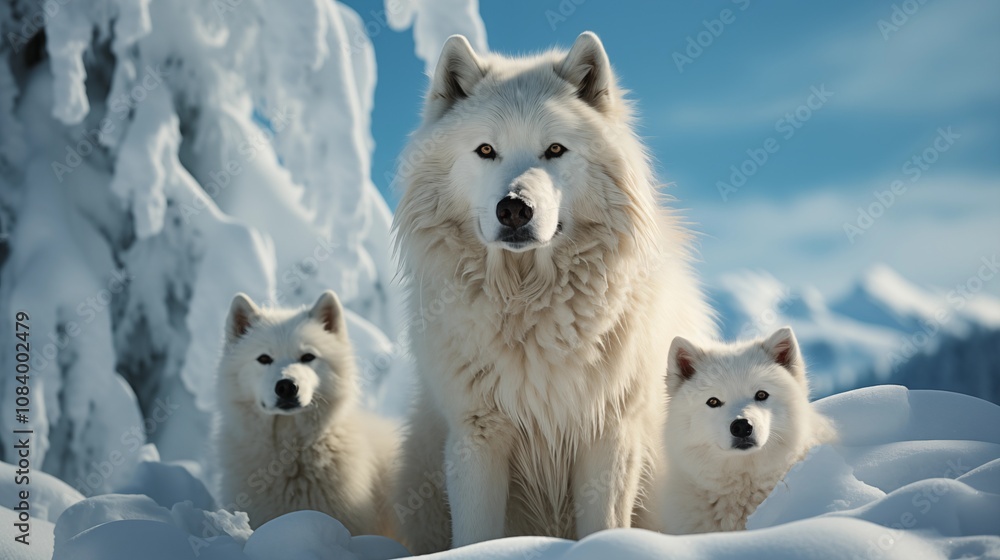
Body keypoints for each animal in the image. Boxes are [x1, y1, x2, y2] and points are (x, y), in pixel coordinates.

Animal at [391, 31, 716, 552]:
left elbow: (605, 524)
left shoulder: (610, 433)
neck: (529, 302)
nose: (514, 209)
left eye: (555, 149)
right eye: (486, 150)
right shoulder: (477, 434)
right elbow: (475, 534)